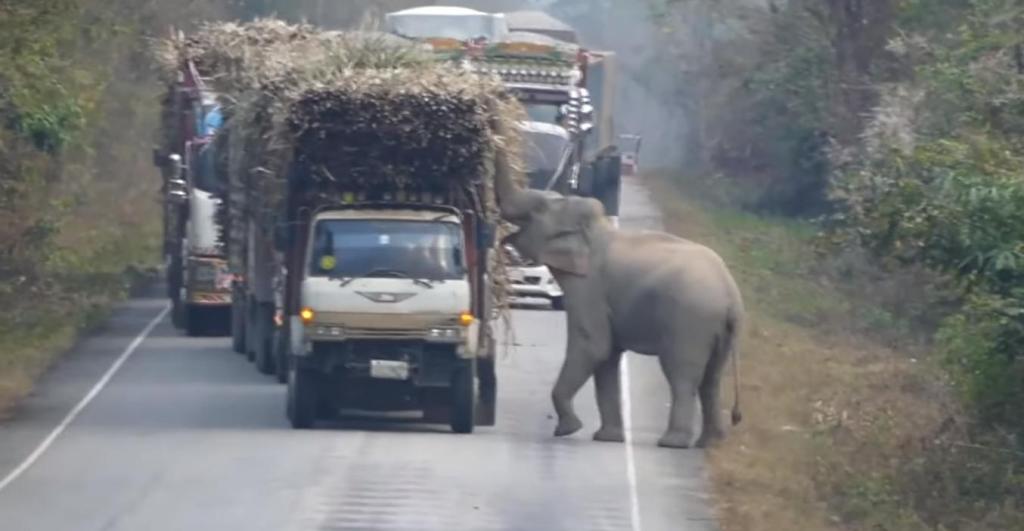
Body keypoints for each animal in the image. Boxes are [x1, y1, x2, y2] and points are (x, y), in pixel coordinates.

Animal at [493, 151, 745, 450]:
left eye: (538, 210)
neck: (597, 230)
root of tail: (730, 294)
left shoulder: (589, 286)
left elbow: (593, 346)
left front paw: (567, 429)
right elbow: (608, 357)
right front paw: (607, 438)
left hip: (690, 321)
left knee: (682, 375)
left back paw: (672, 442)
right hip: (718, 330)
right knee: (711, 378)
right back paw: (707, 443)